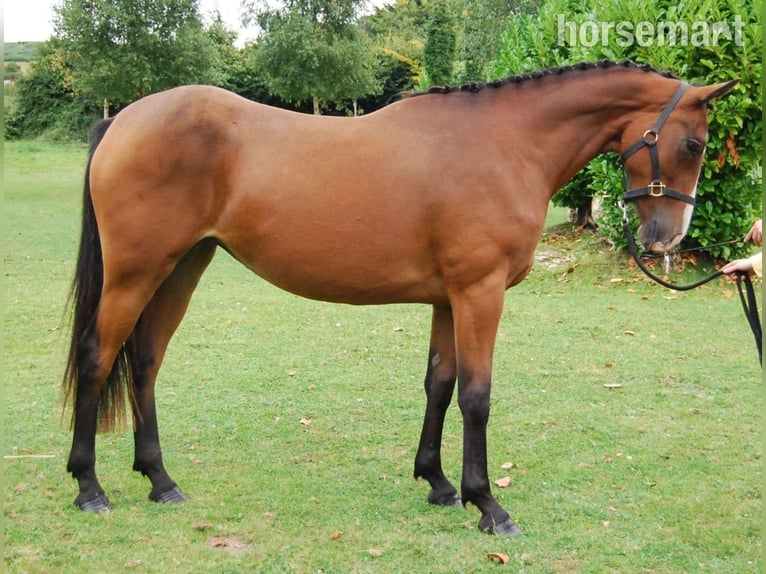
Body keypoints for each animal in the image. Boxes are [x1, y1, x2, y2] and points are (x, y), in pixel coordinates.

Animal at [63, 60, 738, 535]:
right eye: (695, 144)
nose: (666, 238)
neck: (503, 144)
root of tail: (123, 119)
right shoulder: (479, 294)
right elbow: (475, 397)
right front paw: (488, 505)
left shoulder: (447, 299)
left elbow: (439, 384)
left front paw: (437, 483)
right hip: (136, 272)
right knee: (98, 358)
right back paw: (90, 488)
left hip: (182, 268)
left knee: (145, 361)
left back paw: (159, 479)